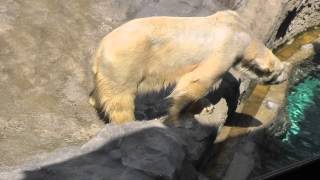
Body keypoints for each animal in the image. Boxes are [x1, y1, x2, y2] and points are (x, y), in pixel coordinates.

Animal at [89, 10, 290, 124]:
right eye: (278, 73)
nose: (286, 77)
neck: (242, 33)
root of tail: (100, 49)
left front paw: (206, 106)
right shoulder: (226, 50)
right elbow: (199, 81)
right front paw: (176, 115)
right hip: (125, 64)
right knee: (120, 100)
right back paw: (127, 122)